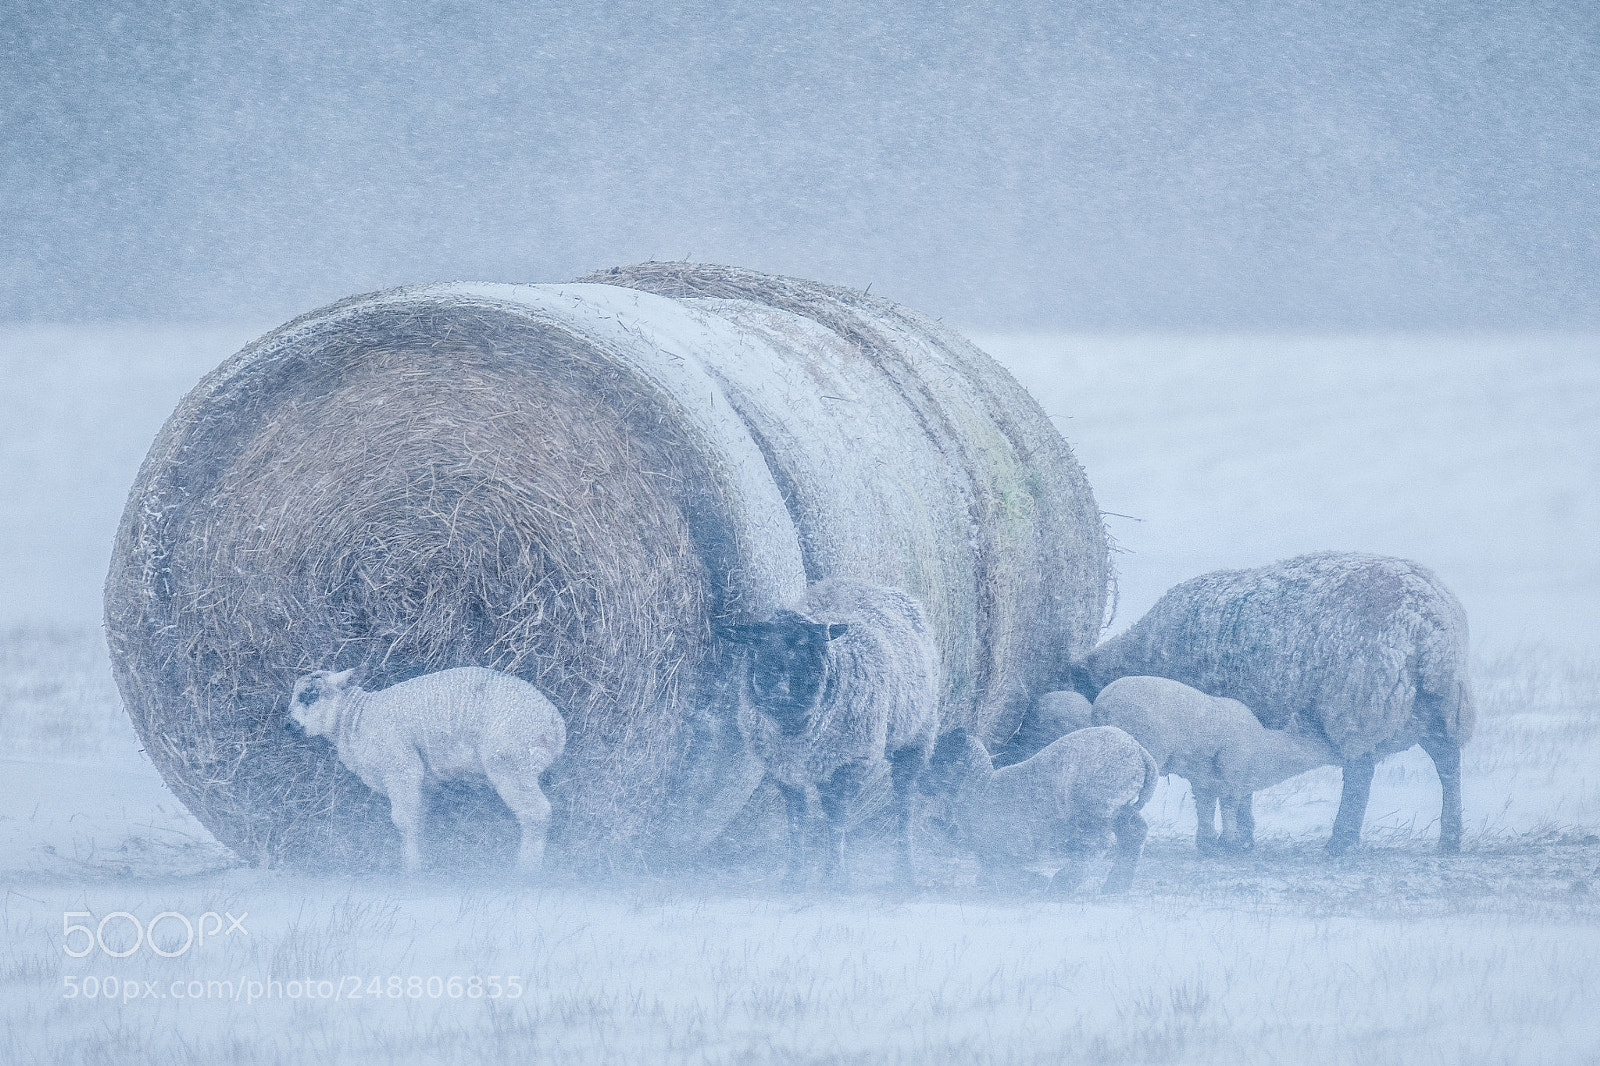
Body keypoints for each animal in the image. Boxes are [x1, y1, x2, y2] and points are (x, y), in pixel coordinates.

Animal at [287, 666, 566, 873]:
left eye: (309, 695)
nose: (288, 724)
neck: (354, 721)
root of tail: (554, 723)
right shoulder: (422, 782)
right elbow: (419, 820)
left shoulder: (402, 769)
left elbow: (404, 821)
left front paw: (412, 870)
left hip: (510, 762)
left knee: (536, 814)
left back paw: (525, 871)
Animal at [720, 578, 940, 887]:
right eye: (756, 644)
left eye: (803, 645)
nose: (772, 686)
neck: (794, 728)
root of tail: (870, 583)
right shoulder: (783, 770)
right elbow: (796, 822)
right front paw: (793, 875)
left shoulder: (846, 767)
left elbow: (836, 821)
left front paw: (833, 876)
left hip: (918, 736)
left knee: (904, 803)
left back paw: (906, 869)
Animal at [922, 725, 1158, 895]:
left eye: (938, 758)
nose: (919, 780)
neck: (980, 789)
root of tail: (1140, 752)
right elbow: (993, 869)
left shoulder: (1012, 839)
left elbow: (1004, 869)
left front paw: (1026, 883)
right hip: (1120, 806)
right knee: (1135, 834)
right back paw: (1116, 885)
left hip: (1096, 804)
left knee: (1097, 845)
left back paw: (1063, 884)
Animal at [1091, 675, 1339, 853]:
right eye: (1321, 736)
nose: (1338, 750)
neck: (1263, 750)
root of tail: (1103, 704)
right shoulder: (1233, 772)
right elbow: (1228, 806)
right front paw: (1231, 842)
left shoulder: (1205, 777)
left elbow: (1206, 806)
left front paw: (1208, 841)